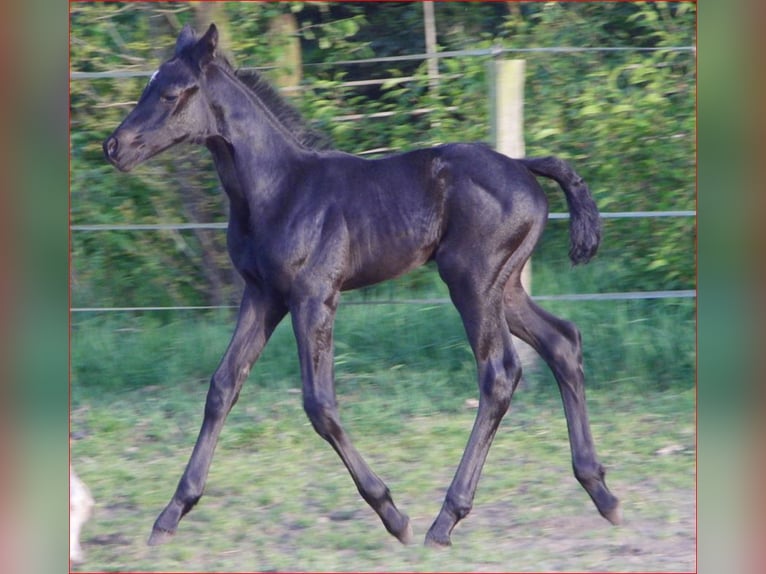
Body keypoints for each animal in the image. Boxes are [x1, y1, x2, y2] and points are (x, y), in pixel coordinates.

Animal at [102, 23, 620, 548]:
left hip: (471, 282)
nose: (114, 147)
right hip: (505, 286)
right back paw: (601, 492)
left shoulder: (314, 297)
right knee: (562, 341)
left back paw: (445, 518)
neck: (279, 189)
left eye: (170, 93)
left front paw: (391, 512)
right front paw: (170, 513)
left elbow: (319, 403)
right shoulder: (262, 295)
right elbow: (223, 385)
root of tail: (522, 165)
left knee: (498, 373)